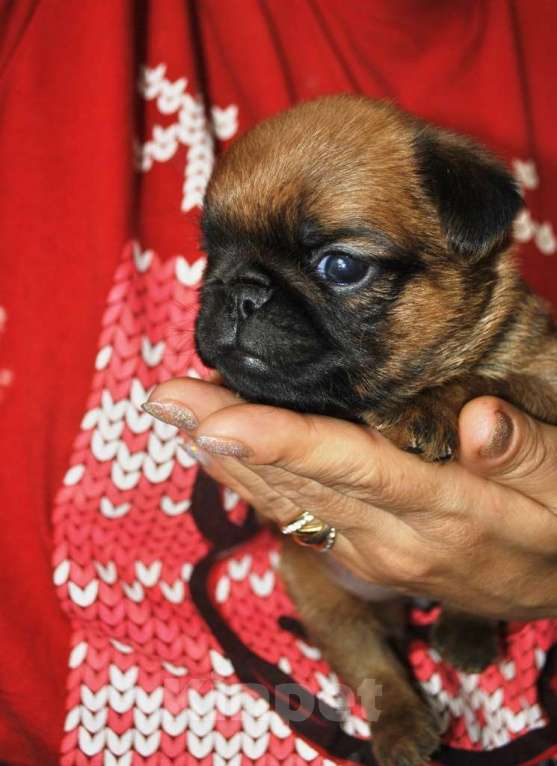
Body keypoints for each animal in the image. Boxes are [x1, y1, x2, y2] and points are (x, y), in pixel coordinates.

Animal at [193, 96, 556, 766]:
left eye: (340, 266)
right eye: (212, 253)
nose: (238, 291)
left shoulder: (545, 378)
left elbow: (488, 381)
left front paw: (431, 405)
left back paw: (464, 633)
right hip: (320, 589)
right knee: (372, 664)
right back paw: (403, 730)